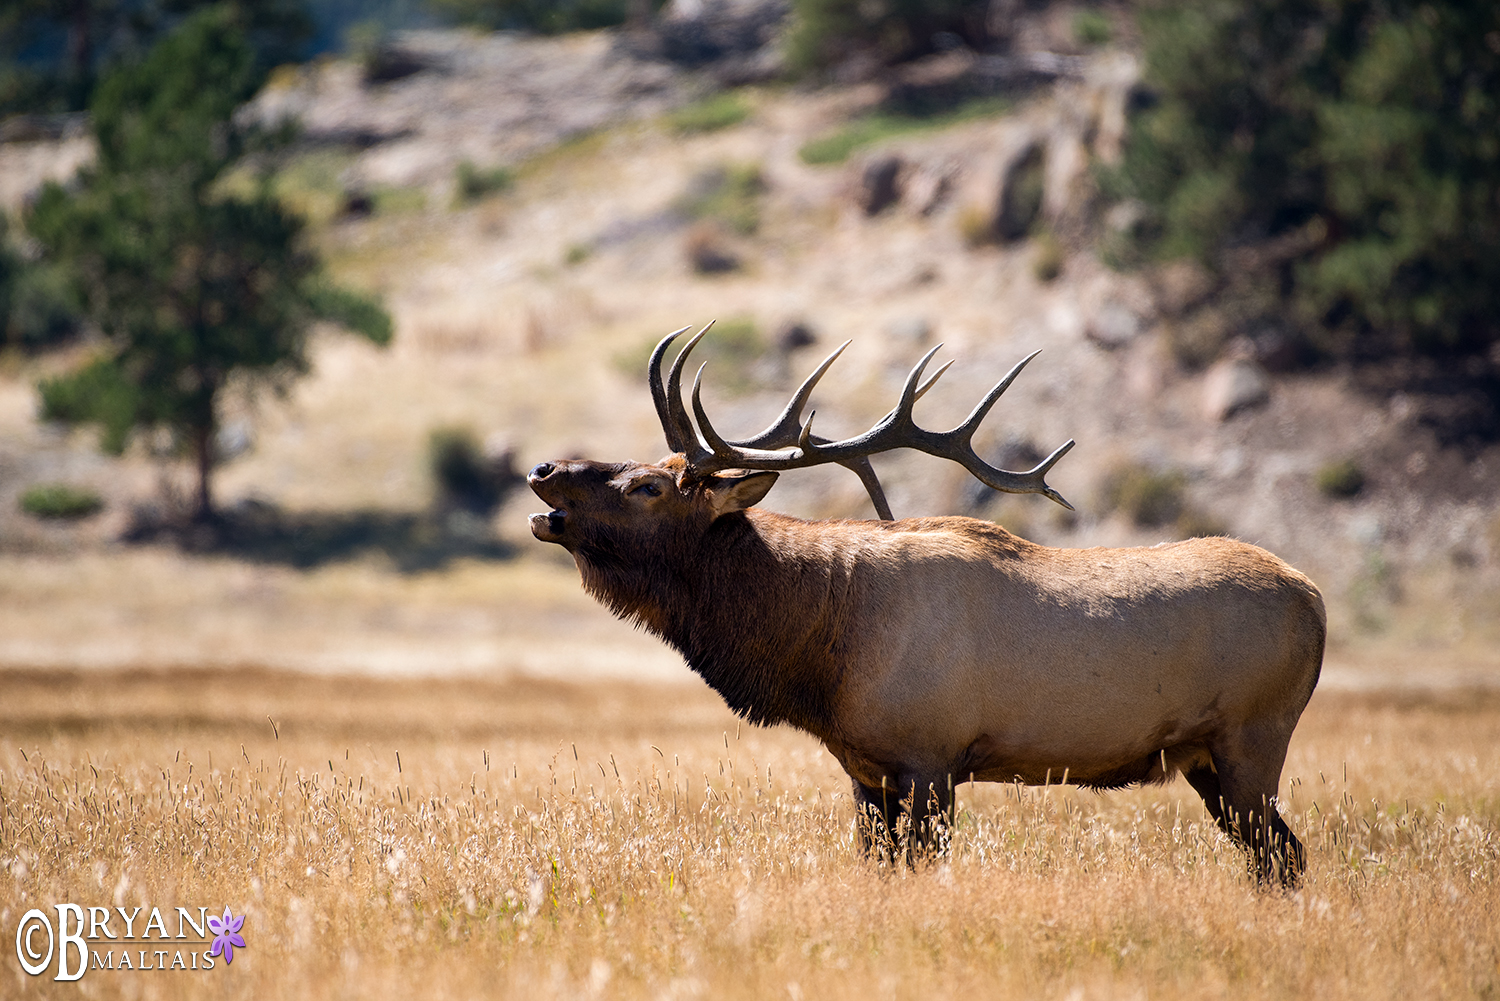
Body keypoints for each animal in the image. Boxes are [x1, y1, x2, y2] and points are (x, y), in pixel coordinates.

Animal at [527, 323, 1324, 886]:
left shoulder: (930, 758)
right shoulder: (866, 771)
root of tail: (1314, 599)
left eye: (648, 486)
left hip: (1255, 734)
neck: (820, 645)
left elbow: (921, 867)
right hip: (1203, 757)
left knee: (1282, 855)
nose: (542, 468)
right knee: (1278, 855)